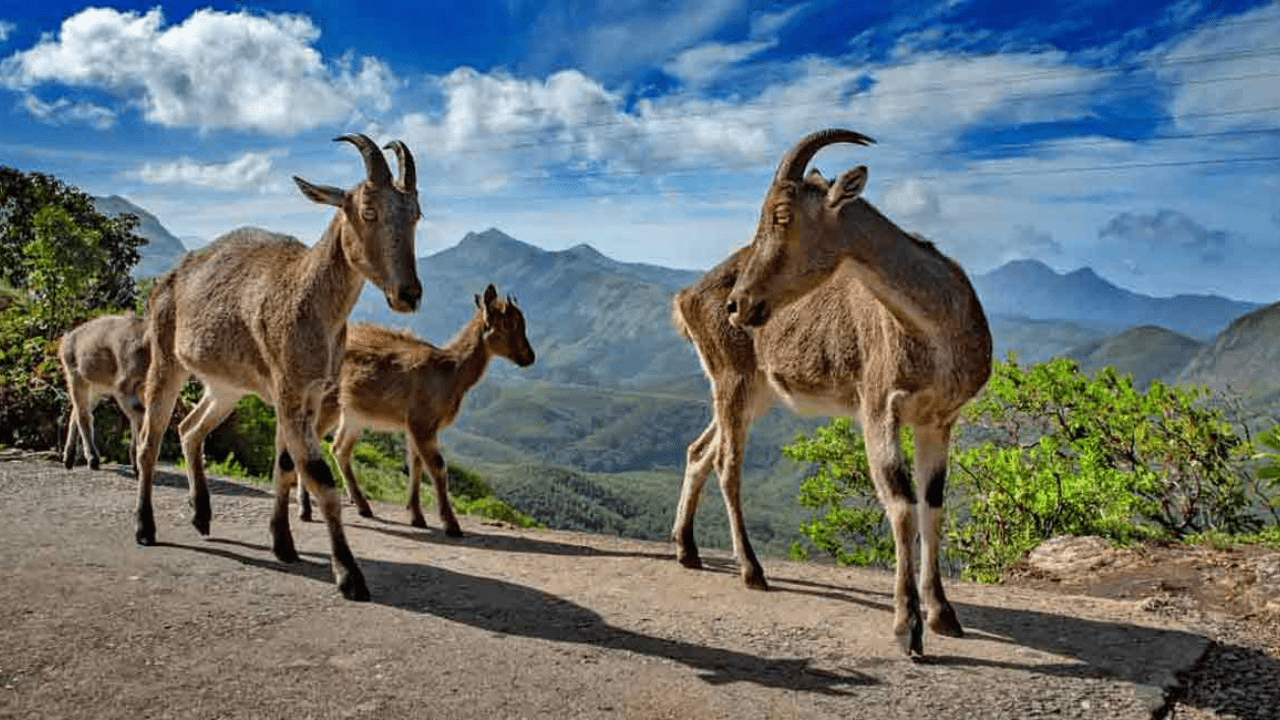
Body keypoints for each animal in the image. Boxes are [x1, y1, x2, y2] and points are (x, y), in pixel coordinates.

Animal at [58, 310, 149, 471]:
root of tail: (66, 339)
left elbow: (137, 419)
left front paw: (135, 463)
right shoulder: (124, 387)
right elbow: (139, 417)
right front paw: (139, 466)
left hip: (96, 388)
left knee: (77, 413)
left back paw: (69, 459)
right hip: (76, 378)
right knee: (83, 415)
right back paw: (92, 459)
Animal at [298, 284, 535, 532]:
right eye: (509, 323)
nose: (529, 357)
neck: (451, 374)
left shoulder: (414, 425)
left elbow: (416, 466)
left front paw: (417, 516)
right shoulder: (422, 421)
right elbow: (437, 467)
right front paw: (451, 524)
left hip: (353, 414)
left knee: (339, 448)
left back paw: (363, 506)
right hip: (326, 402)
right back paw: (305, 509)